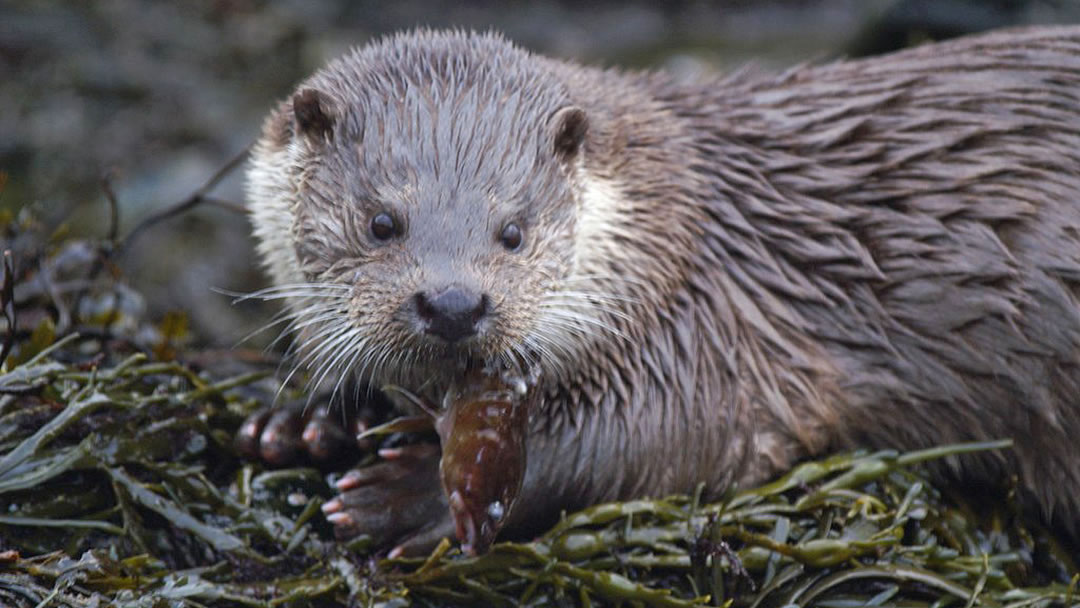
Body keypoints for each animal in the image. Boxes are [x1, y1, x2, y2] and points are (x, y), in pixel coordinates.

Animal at [243, 27, 1080, 552]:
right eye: (382, 222)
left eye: (514, 231)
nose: (453, 304)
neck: (682, 220)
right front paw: (302, 421)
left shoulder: (710, 334)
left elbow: (653, 437)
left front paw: (400, 495)